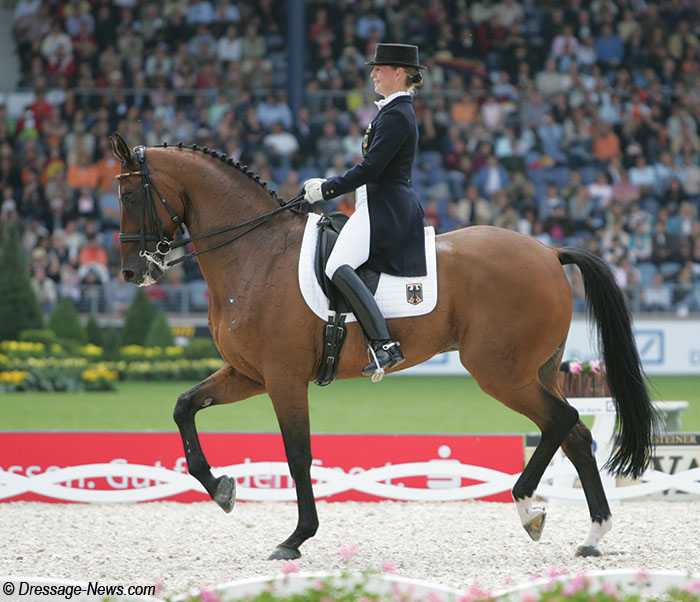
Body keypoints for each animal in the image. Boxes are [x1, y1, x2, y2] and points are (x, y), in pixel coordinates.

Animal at [109, 134, 656, 560]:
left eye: (132, 194)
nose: (133, 273)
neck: (255, 253)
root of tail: (548, 250)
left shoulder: (283, 377)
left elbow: (298, 454)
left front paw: (296, 537)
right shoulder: (249, 373)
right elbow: (184, 407)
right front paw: (221, 488)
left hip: (502, 373)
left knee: (562, 421)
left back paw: (528, 508)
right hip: (536, 370)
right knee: (574, 434)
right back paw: (592, 534)